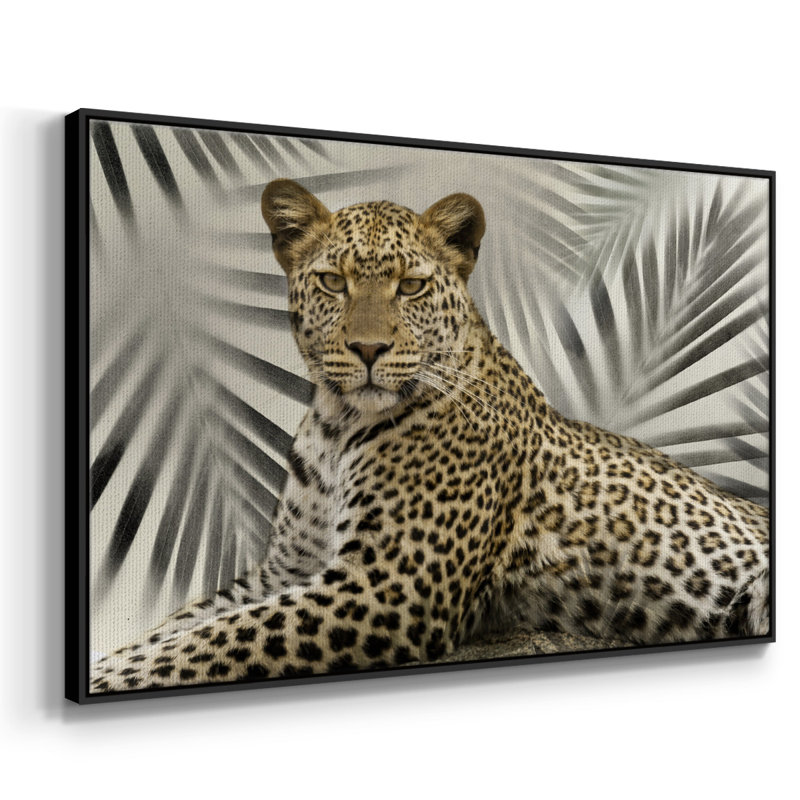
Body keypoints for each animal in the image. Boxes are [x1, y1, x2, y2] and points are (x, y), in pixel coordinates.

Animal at [90, 179, 770, 694]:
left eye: (411, 286)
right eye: (333, 282)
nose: (368, 350)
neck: (336, 425)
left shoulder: (387, 587)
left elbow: (204, 644)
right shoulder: (286, 569)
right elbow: (176, 630)